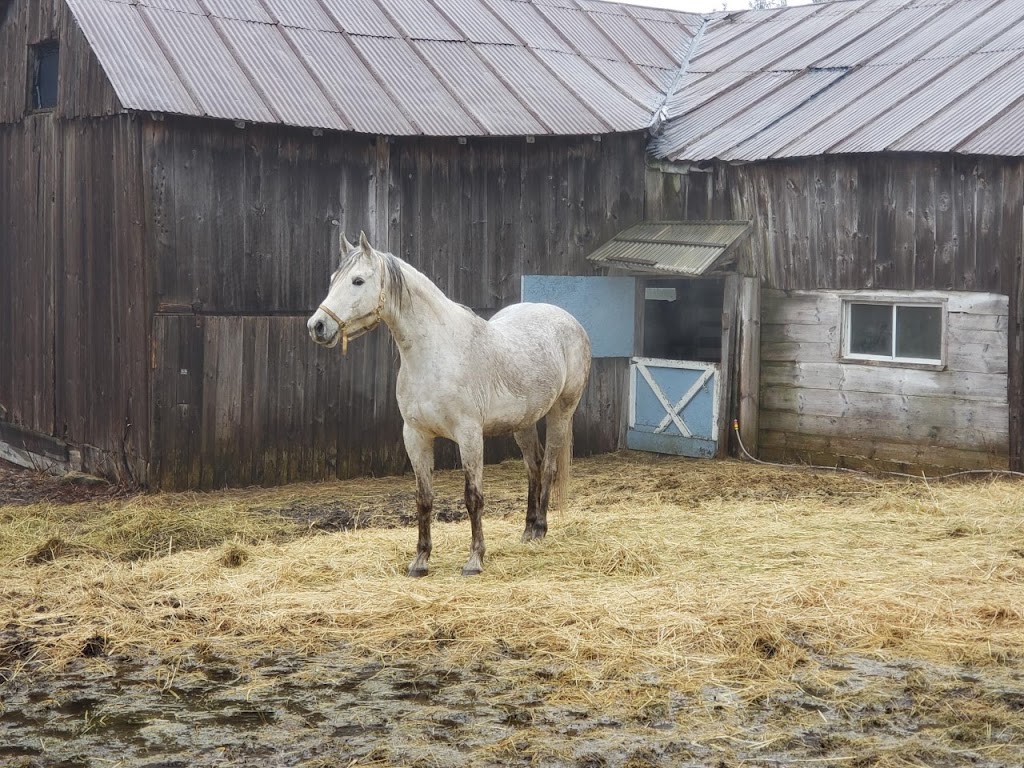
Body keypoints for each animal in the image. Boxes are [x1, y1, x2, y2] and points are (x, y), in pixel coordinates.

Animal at [307, 234, 589, 577]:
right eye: (333, 279)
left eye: (358, 280)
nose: (317, 326)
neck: (436, 353)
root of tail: (569, 321)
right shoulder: (415, 436)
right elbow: (424, 498)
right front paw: (420, 561)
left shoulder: (469, 436)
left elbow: (473, 497)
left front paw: (475, 559)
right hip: (523, 422)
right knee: (532, 468)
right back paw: (526, 530)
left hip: (561, 411)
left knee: (547, 467)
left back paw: (540, 530)